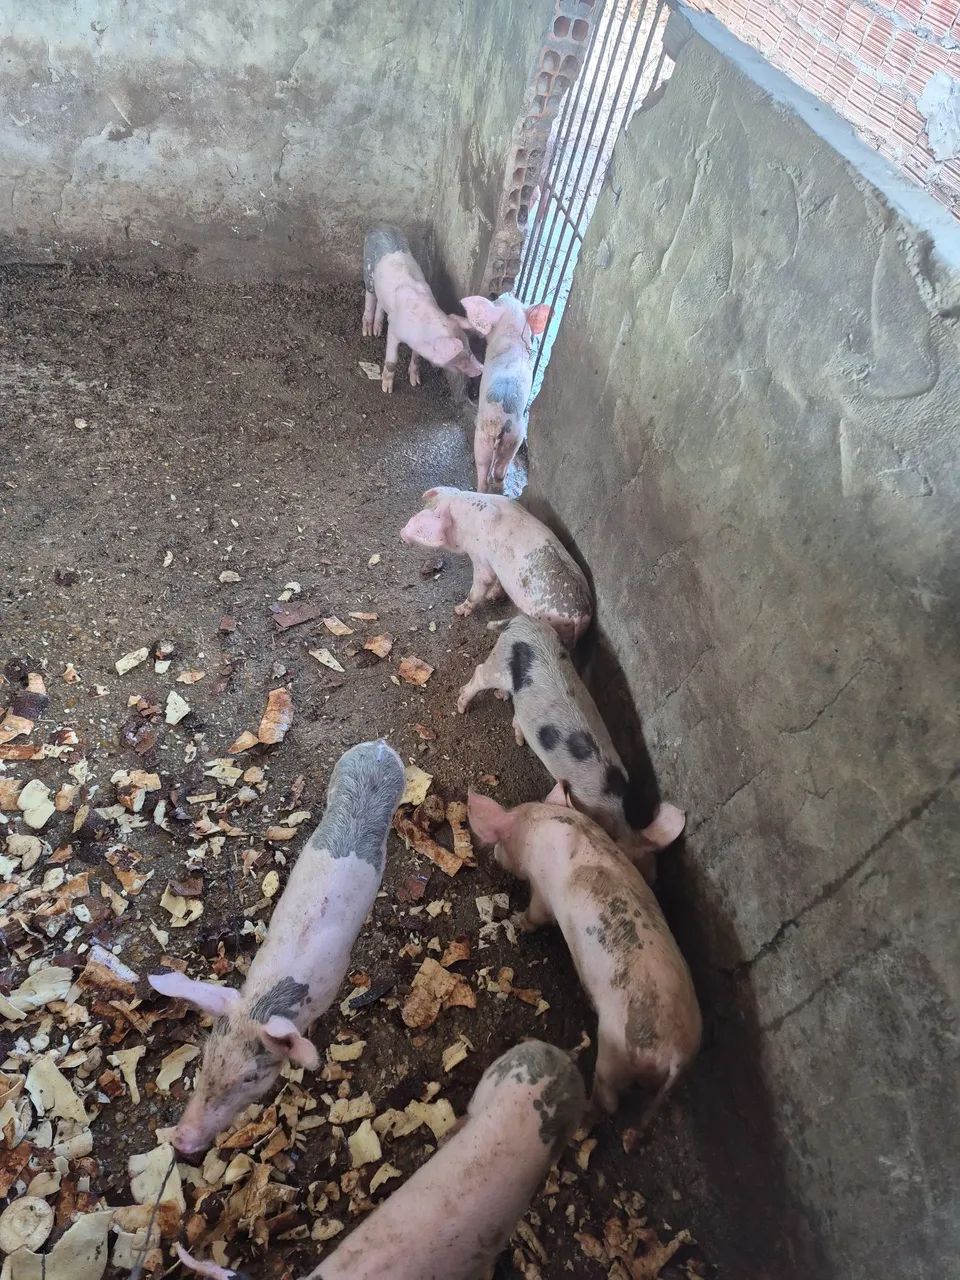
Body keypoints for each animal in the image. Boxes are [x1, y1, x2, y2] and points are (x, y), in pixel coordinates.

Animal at [362, 226, 483, 393]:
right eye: (460, 356)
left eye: (469, 346)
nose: (481, 370)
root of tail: (380, 226)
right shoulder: (394, 329)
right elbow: (392, 360)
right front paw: (387, 389)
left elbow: (417, 359)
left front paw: (416, 383)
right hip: (368, 271)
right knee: (370, 297)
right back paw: (368, 333)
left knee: (380, 303)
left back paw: (377, 331)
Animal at [399, 486, 592, 646]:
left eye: (424, 517)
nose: (401, 533)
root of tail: (580, 615)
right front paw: (493, 596)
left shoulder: (480, 556)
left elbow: (482, 582)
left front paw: (459, 610)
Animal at [456, 615, 684, 882]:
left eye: (651, 877)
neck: (611, 813)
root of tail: (520, 620)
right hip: (498, 663)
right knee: (480, 673)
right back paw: (462, 707)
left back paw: (504, 702)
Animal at [458, 293, 550, 493]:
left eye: (496, 301)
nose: (495, 294)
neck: (512, 334)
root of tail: (500, 421)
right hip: (514, 438)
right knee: (499, 468)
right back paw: (500, 486)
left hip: (486, 438)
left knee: (485, 469)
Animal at [468, 791, 701, 1121]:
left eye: (501, 841)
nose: (496, 856)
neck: (534, 826)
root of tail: (676, 1055)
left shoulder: (543, 890)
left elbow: (537, 914)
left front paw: (517, 920)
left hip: (615, 1054)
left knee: (609, 1100)